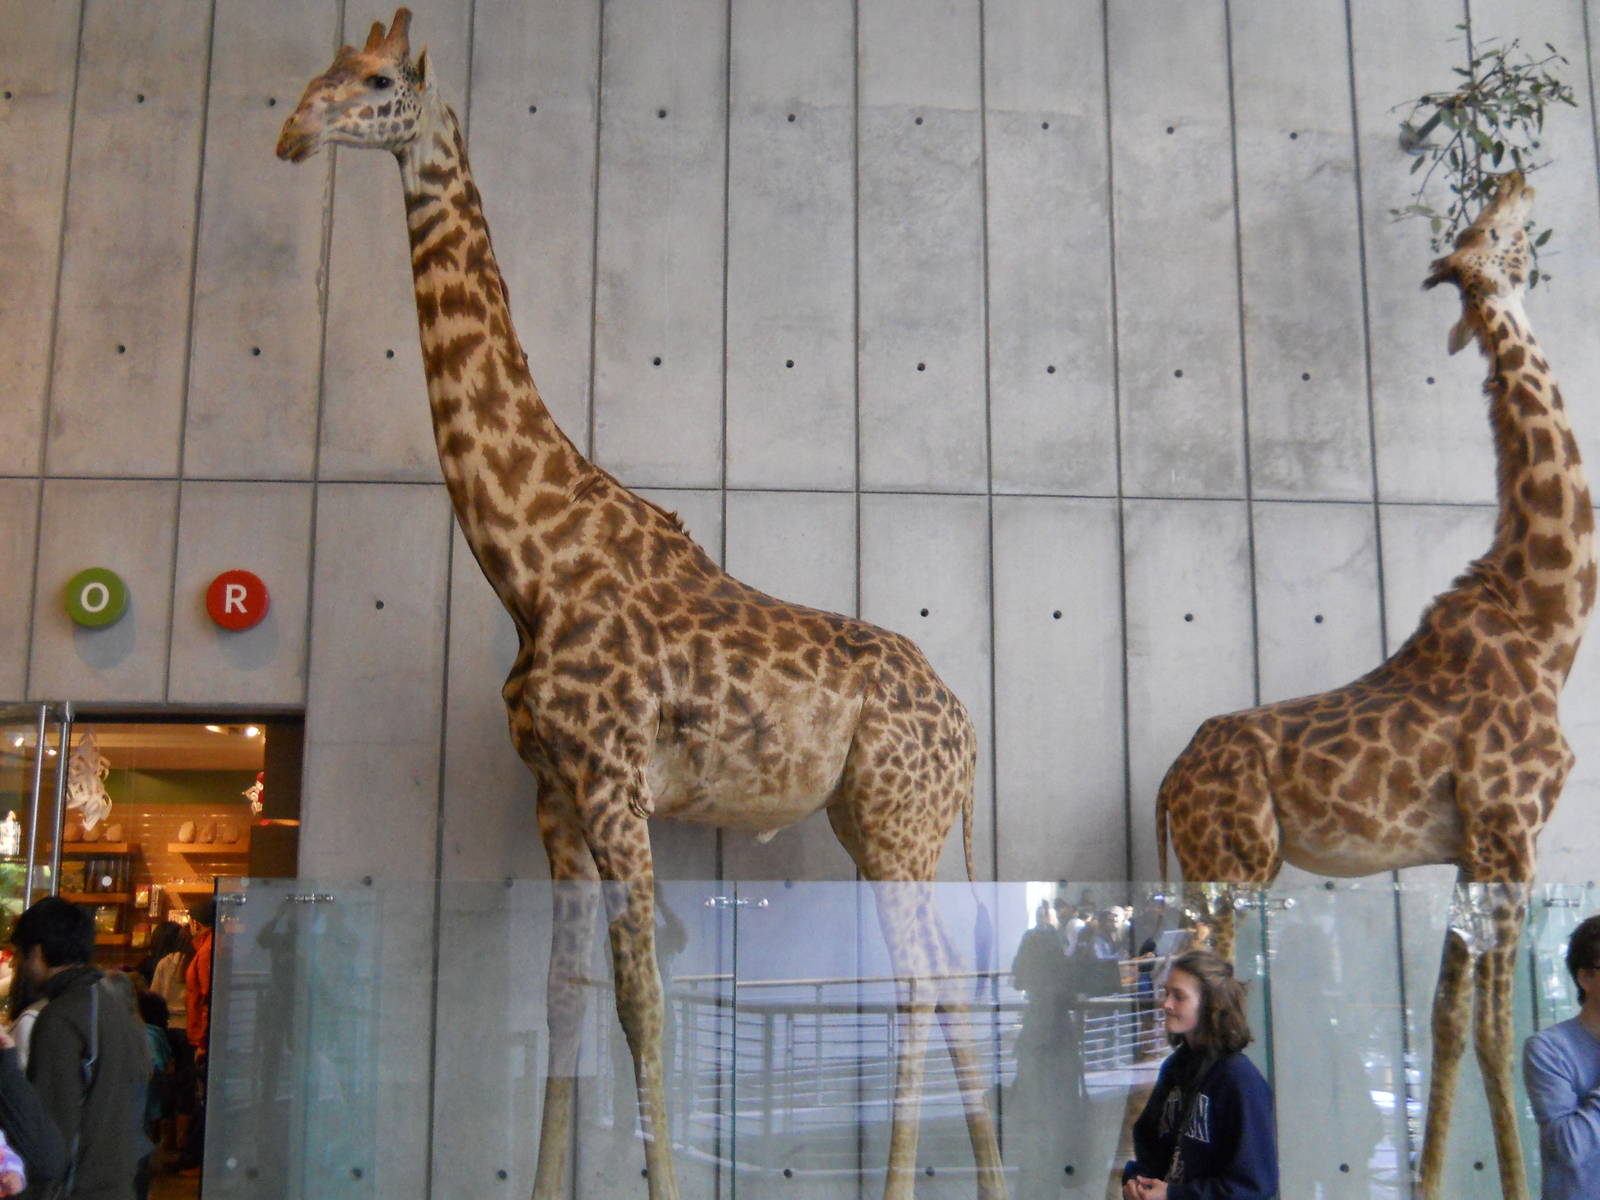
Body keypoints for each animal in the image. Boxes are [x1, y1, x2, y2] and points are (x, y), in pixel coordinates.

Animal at [276, 12, 1006, 1199]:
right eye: (320, 70)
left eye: (376, 82)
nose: (293, 132)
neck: (530, 561)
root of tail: (968, 729)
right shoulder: (555, 794)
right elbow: (564, 1001)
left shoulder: (618, 783)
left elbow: (644, 1005)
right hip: (872, 821)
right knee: (945, 980)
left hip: (903, 823)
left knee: (918, 981)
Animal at [1152, 172, 1593, 1199]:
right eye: (1495, 231)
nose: (1517, 176)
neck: (1551, 622)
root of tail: (1168, 784)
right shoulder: (1512, 833)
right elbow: (1499, 1031)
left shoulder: (1469, 850)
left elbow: (1442, 1023)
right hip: (1238, 864)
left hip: (1208, 867)